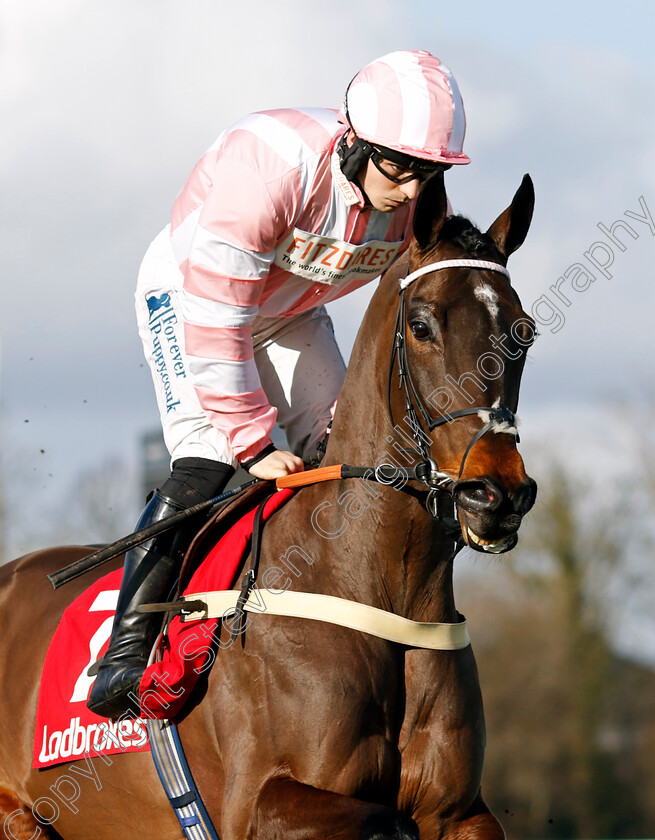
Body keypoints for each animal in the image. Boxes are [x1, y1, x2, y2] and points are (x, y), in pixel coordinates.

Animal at [0, 171, 540, 840]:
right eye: (421, 325)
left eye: (524, 329)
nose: (496, 492)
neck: (379, 585)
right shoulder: (258, 802)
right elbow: (387, 822)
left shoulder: (460, 812)